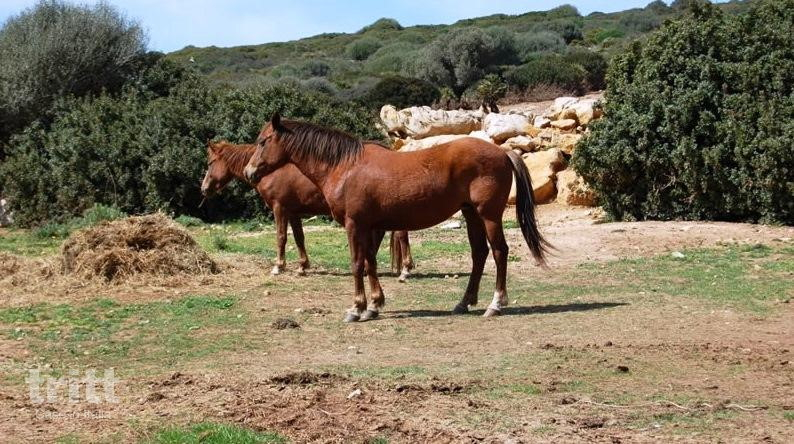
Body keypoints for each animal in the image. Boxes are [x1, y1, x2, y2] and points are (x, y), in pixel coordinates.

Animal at [201, 141, 414, 279]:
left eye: (210, 163)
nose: (203, 188)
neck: (271, 170)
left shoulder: (280, 208)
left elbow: (281, 237)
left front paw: (278, 266)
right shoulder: (293, 212)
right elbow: (299, 238)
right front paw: (302, 266)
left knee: (400, 234)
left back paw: (404, 269)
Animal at [244, 114, 549, 322]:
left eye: (263, 141)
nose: (249, 172)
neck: (345, 167)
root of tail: (503, 152)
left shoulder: (355, 225)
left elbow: (357, 264)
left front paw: (356, 308)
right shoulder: (370, 226)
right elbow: (371, 263)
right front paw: (374, 305)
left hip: (488, 215)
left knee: (499, 251)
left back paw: (495, 304)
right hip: (471, 213)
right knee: (479, 254)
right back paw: (464, 302)